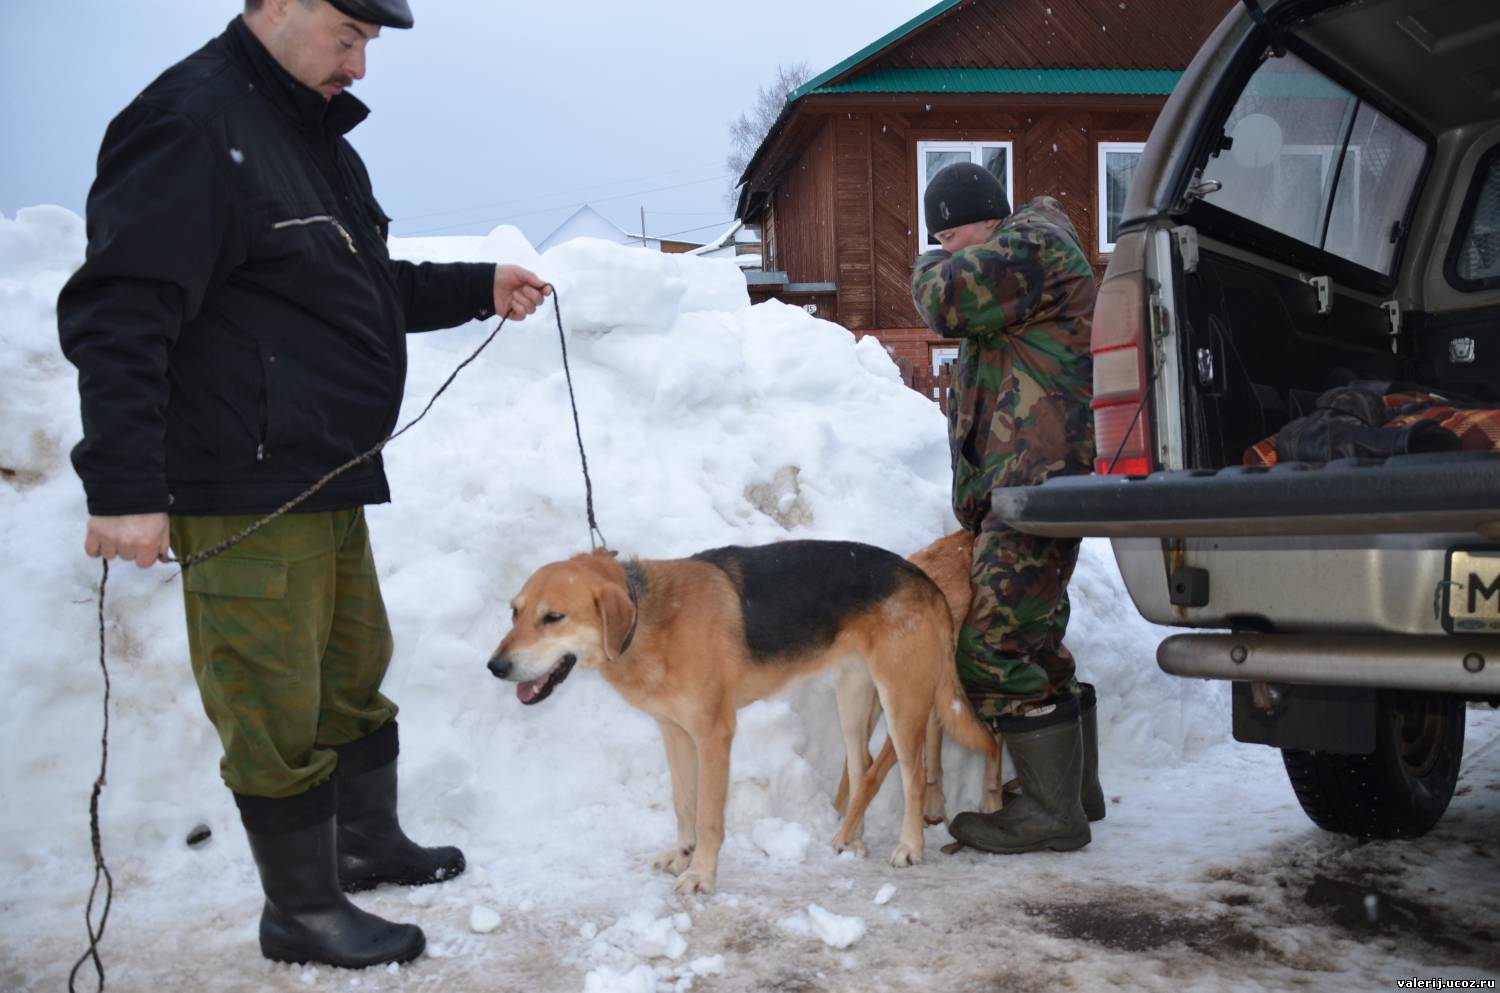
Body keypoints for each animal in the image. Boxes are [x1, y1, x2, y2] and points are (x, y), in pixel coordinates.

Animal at [492, 540, 1002, 900]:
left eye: (553, 617)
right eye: (514, 612)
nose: (494, 667)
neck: (649, 617)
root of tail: (926, 580)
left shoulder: (714, 735)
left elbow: (708, 816)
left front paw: (701, 875)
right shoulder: (675, 733)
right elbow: (683, 804)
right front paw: (683, 855)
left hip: (901, 703)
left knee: (913, 775)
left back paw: (910, 846)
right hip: (854, 701)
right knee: (863, 772)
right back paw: (850, 841)